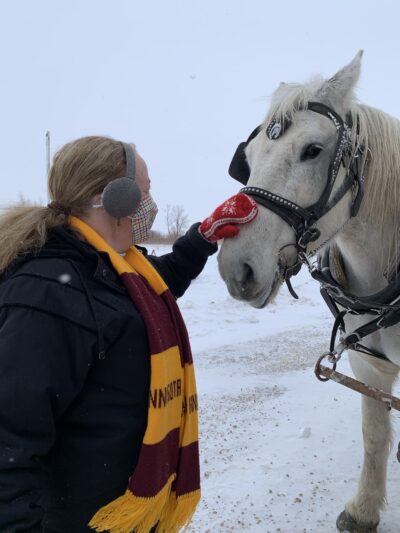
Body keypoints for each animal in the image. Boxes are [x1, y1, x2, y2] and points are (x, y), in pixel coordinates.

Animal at [219, 51, 400, 532]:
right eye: (247, 158)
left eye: (312, 150)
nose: (235, 268)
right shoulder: (368, 363)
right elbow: (374, 434)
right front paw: (363, 510)